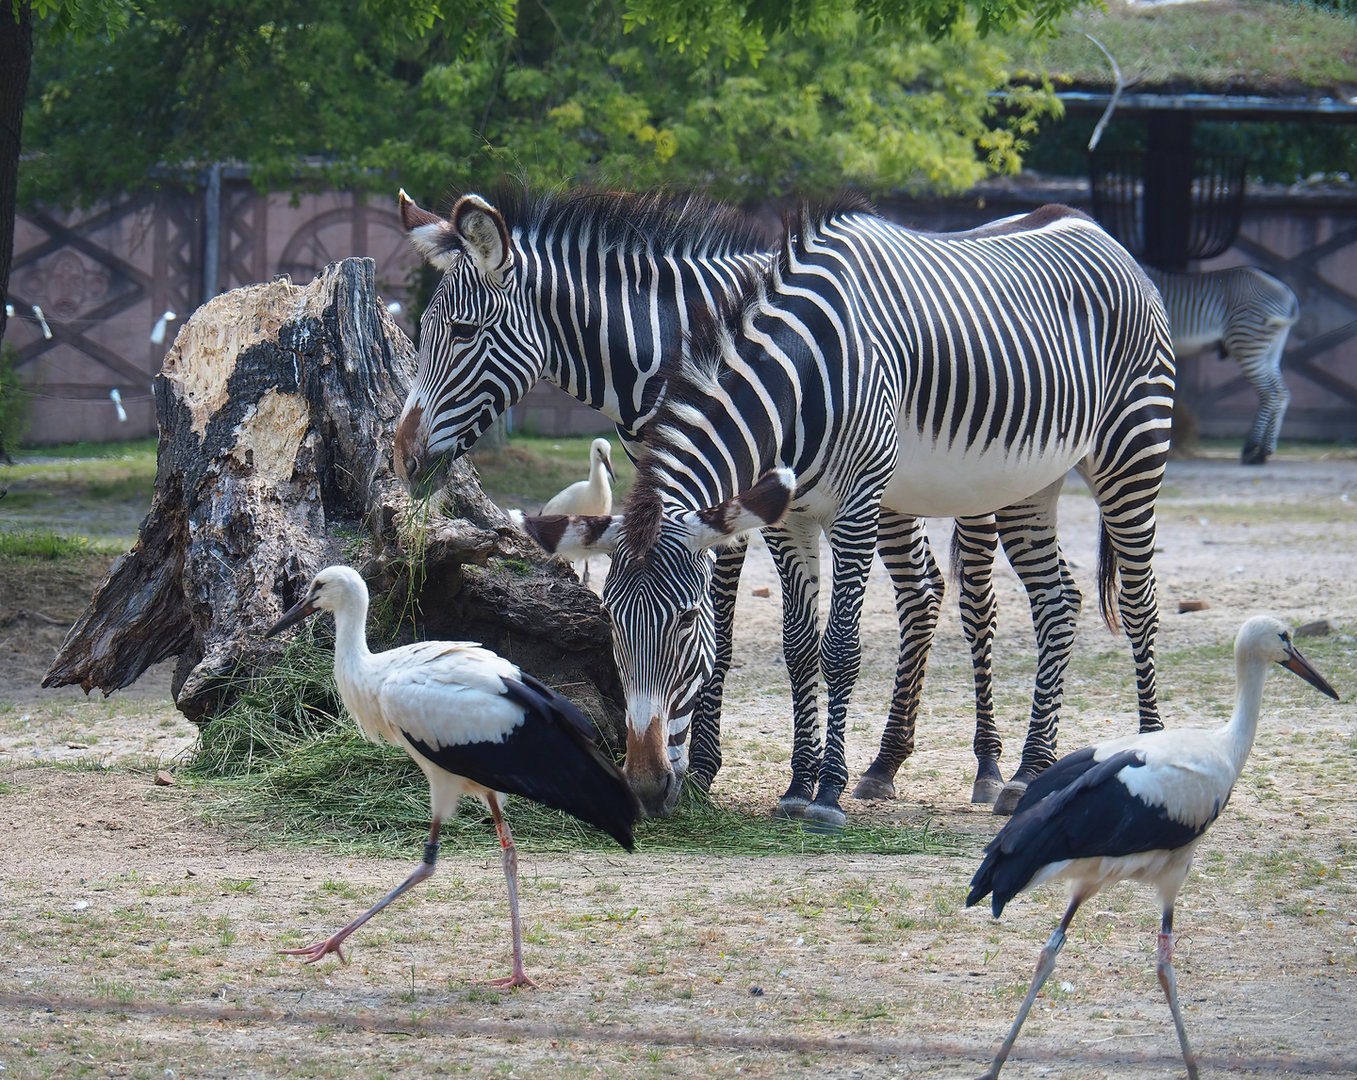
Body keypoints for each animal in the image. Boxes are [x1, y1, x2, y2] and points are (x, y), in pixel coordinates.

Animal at [516, 197, 1176, 827]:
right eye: (614, 627)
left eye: (683, 622)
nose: (646, 788)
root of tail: (1092, 227)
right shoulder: (783, 514)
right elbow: (799, 645)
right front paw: (796, 785)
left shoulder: (848, 505)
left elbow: (828, 645)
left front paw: (818, 792)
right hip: (1027, 481)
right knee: (1049, 601)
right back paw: (1019, 771)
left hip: (1124, 453)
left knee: (1115, 603)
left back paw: (1112, 755)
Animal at [1143, 266, 1300, 465]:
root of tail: (1287, 293)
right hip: (1271, 348)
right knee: (1281, 393)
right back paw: (1264, 450)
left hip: (1247, 341)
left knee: (1271, 393)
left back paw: (1253, 449)